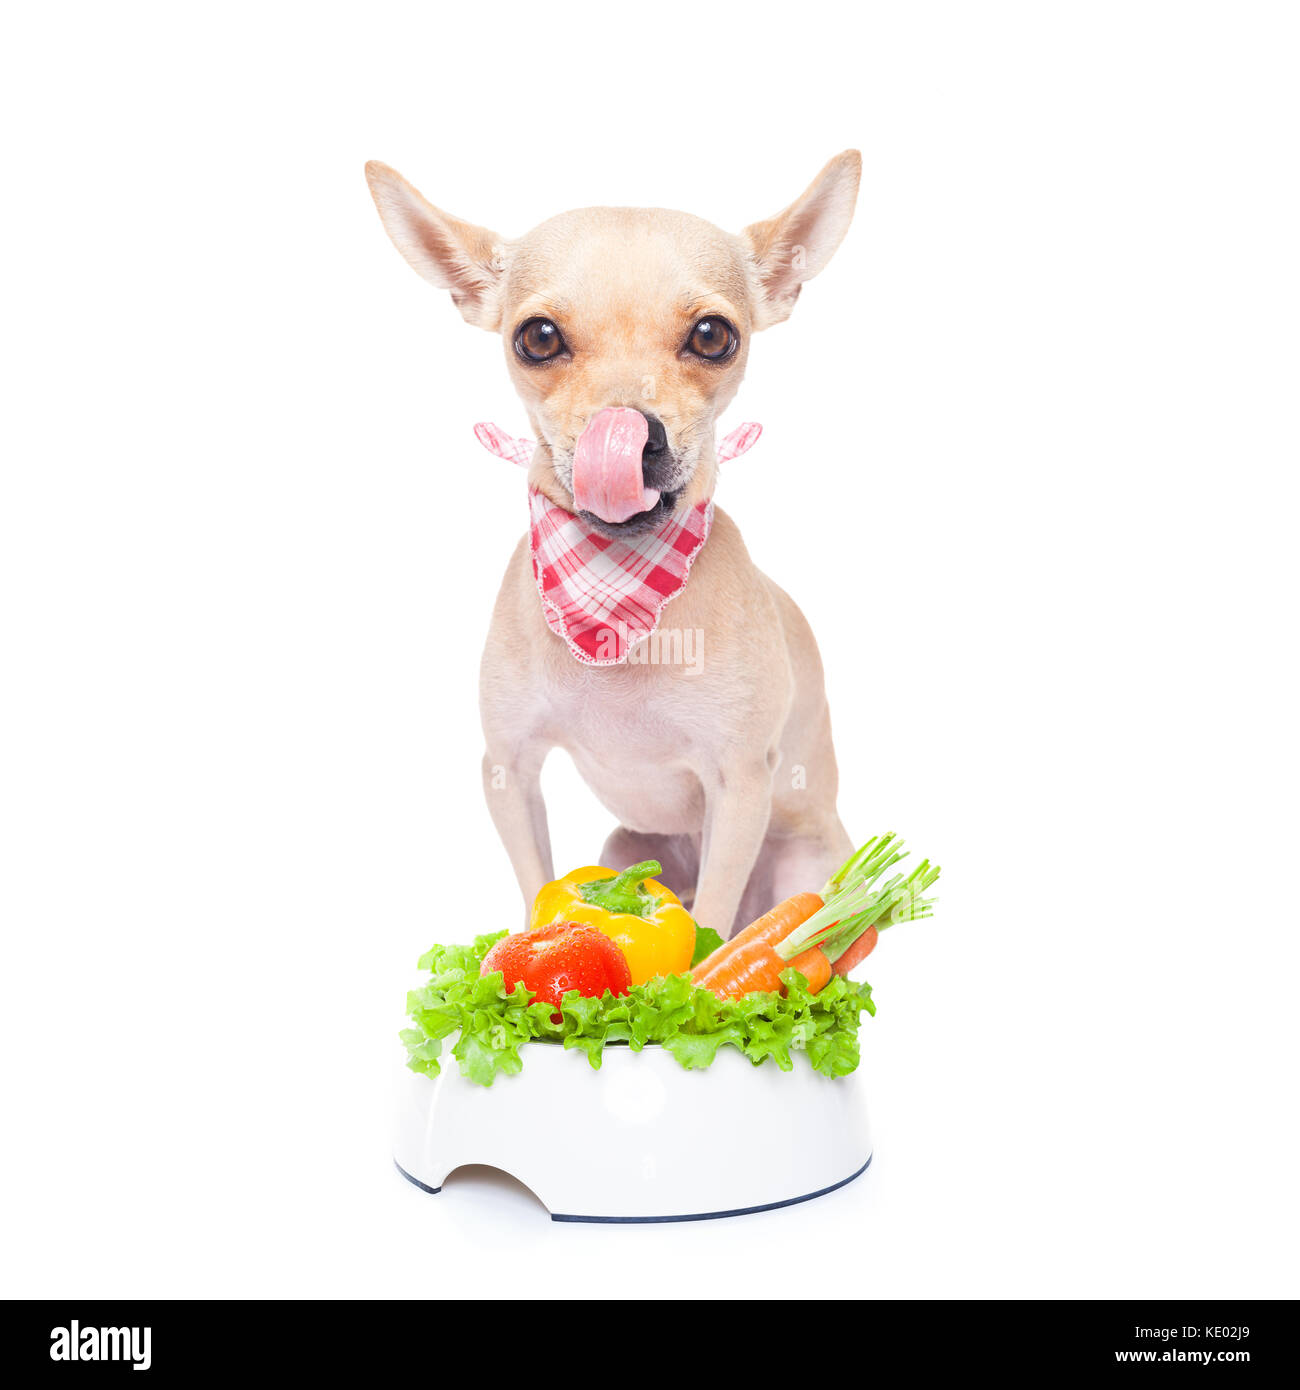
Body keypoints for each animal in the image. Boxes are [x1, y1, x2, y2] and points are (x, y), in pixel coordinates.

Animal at [367, 149, 862, 934]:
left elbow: (710, 927)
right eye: (537, 338)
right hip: (626, 846)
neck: (613, 586)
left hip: (804, 867)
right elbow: (537, 882)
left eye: (713, 336)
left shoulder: (740, 784)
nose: (633, 436)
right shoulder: (508, 768)